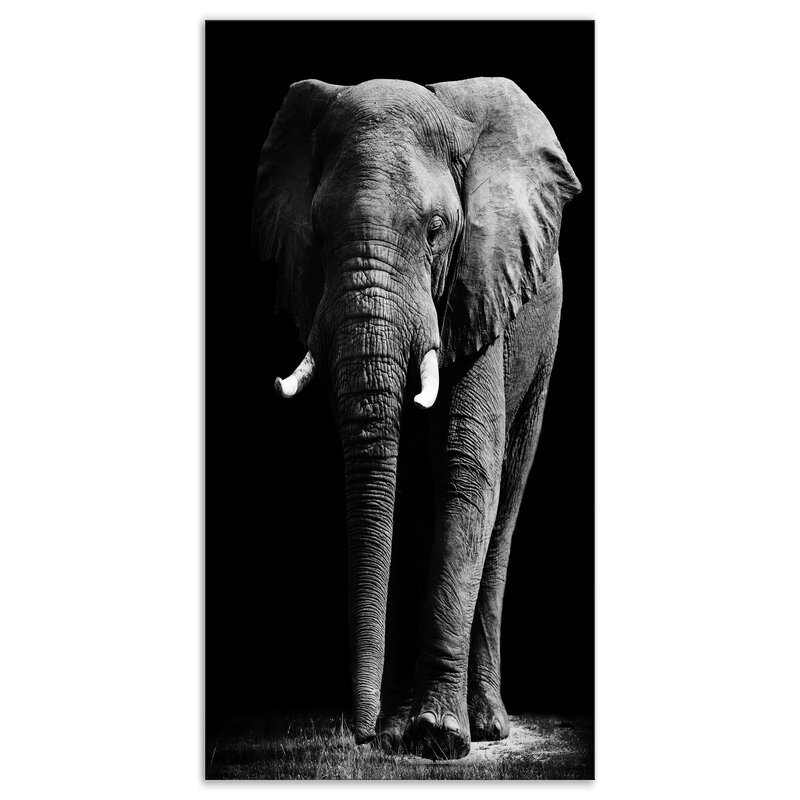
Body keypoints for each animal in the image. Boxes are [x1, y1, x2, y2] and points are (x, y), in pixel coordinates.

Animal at [252, 77, 581, 760]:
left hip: (545, 347)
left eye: (436, 229)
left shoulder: (480, 283)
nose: (358, 737)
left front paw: (436, 738)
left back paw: (482, 726)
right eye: (315, 230)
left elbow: (467, 467)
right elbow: (395, 478)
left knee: (506, 501)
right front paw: (400, 732)